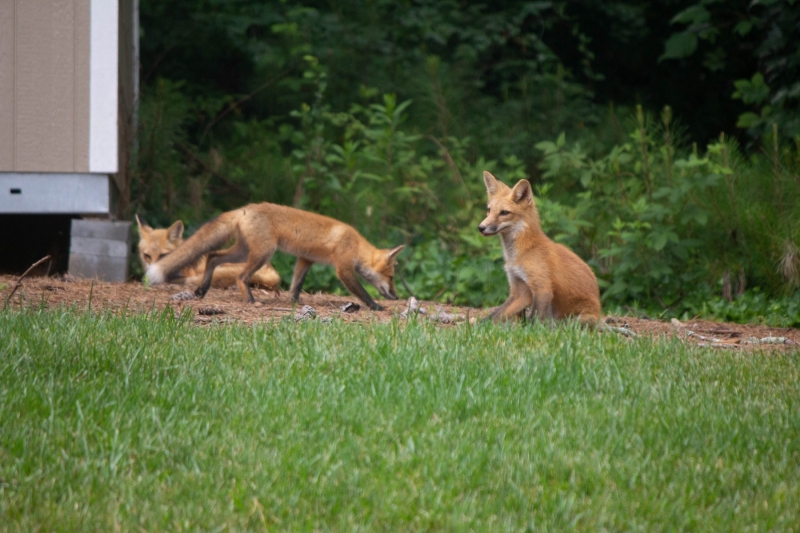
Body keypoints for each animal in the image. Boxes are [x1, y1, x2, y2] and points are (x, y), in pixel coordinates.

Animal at [478, 171, 601, 326]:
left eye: (504, 213)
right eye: (489, 210)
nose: (481, 227)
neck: (521, 253)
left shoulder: (542, 288)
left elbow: (533, 321)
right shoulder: (520, 290)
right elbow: (493, 316)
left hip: (576, 320)